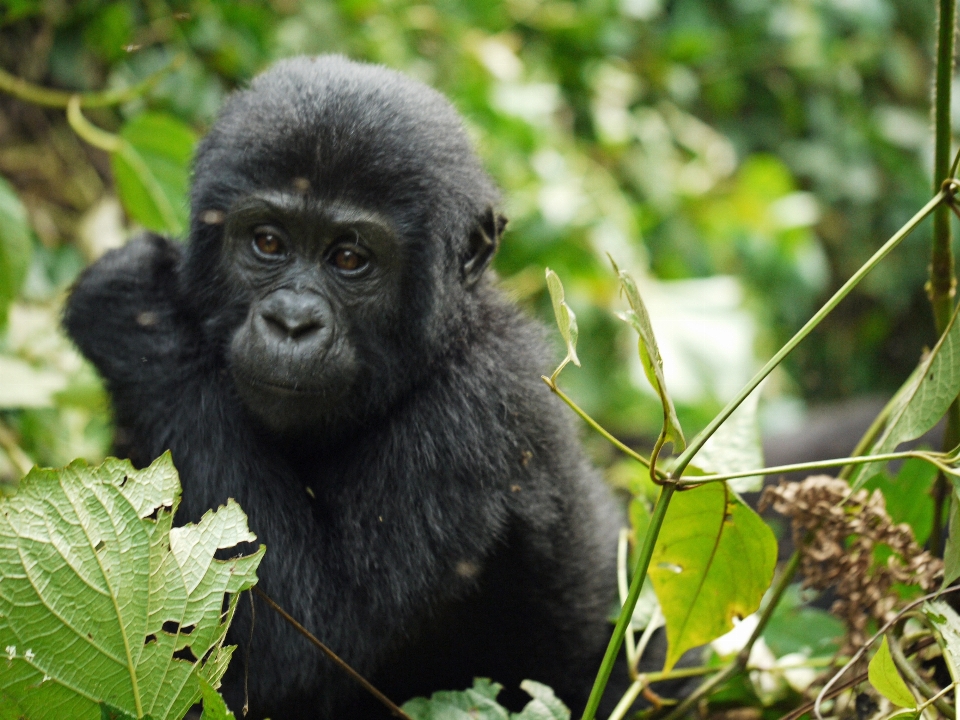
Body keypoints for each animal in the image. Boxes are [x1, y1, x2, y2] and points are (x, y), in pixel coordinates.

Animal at [65, 57, 624, 720]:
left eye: (350, 259)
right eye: (269, 242)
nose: (292, 322)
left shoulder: (479, 408)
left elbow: (300, 649)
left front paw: (135, 310)